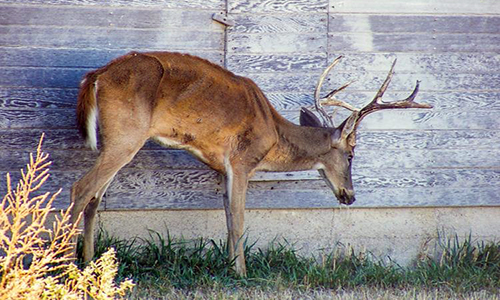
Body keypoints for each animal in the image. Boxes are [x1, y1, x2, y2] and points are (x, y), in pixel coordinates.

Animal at [71, 51, 434, 276]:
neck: (273, 134)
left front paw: (229, 266)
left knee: (95, 197)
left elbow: (228, 217)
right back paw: (65, 263)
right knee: (81, 188)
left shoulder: (223, 169)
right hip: (126, 134)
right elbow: (240, 219)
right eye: (352, 154)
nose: (350, 195)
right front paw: (241, 272)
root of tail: (95, 76)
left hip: (117, 139)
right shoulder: (242, 160)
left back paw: (90, 263)